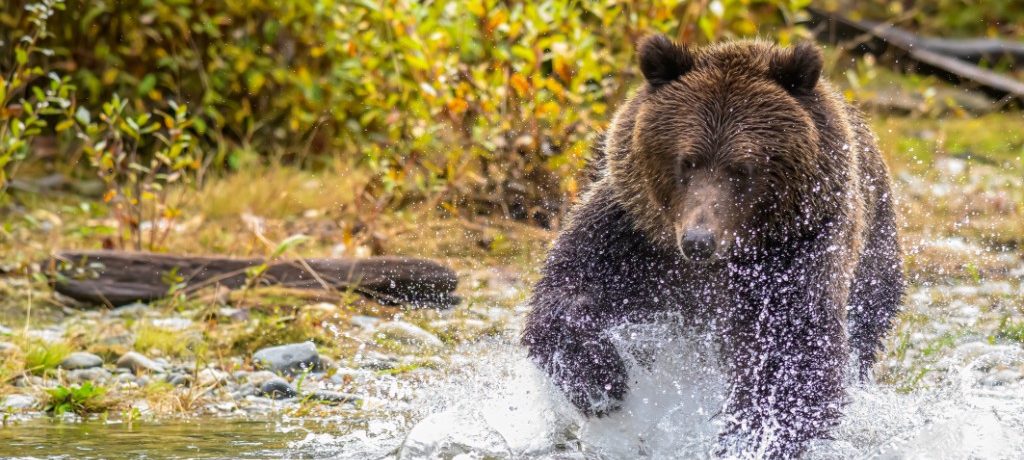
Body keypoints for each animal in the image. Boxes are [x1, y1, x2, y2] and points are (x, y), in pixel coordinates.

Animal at [521, 35, 904, 458]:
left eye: (742, 168)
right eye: (686, 161)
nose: (698, 241)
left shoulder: (794, 257)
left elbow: (790, 356)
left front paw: (752, 439)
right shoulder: (632, 234)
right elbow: (565, 293)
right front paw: (600, 381)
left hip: (873, 259)